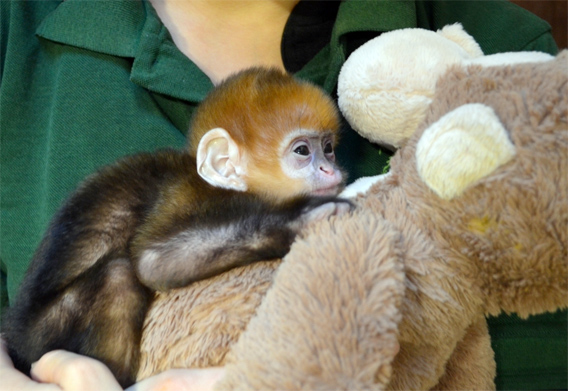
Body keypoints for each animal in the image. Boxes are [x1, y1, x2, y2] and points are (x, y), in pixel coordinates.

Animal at [2, 66, 348, 386]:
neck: (215, 186)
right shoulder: (181, 194)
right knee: (118, 275)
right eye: (302, 151)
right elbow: (153, 260)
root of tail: (16, 332)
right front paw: (296, 221)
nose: (330, 169)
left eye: (329, 148)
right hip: (44, 334)